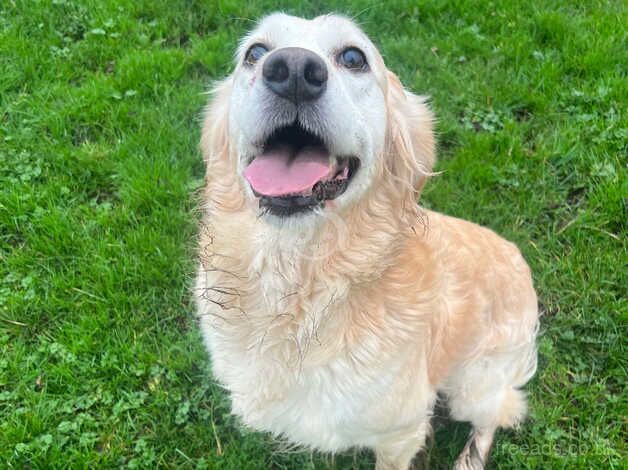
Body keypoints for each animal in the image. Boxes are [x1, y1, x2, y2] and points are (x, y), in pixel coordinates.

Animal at [196, 13, 540, 470]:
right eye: (255, 53)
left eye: (353, 57)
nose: (293, 71)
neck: (298, 285)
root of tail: (521, 260)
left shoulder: (401, 432)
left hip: (474, 384)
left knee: (498, 412)